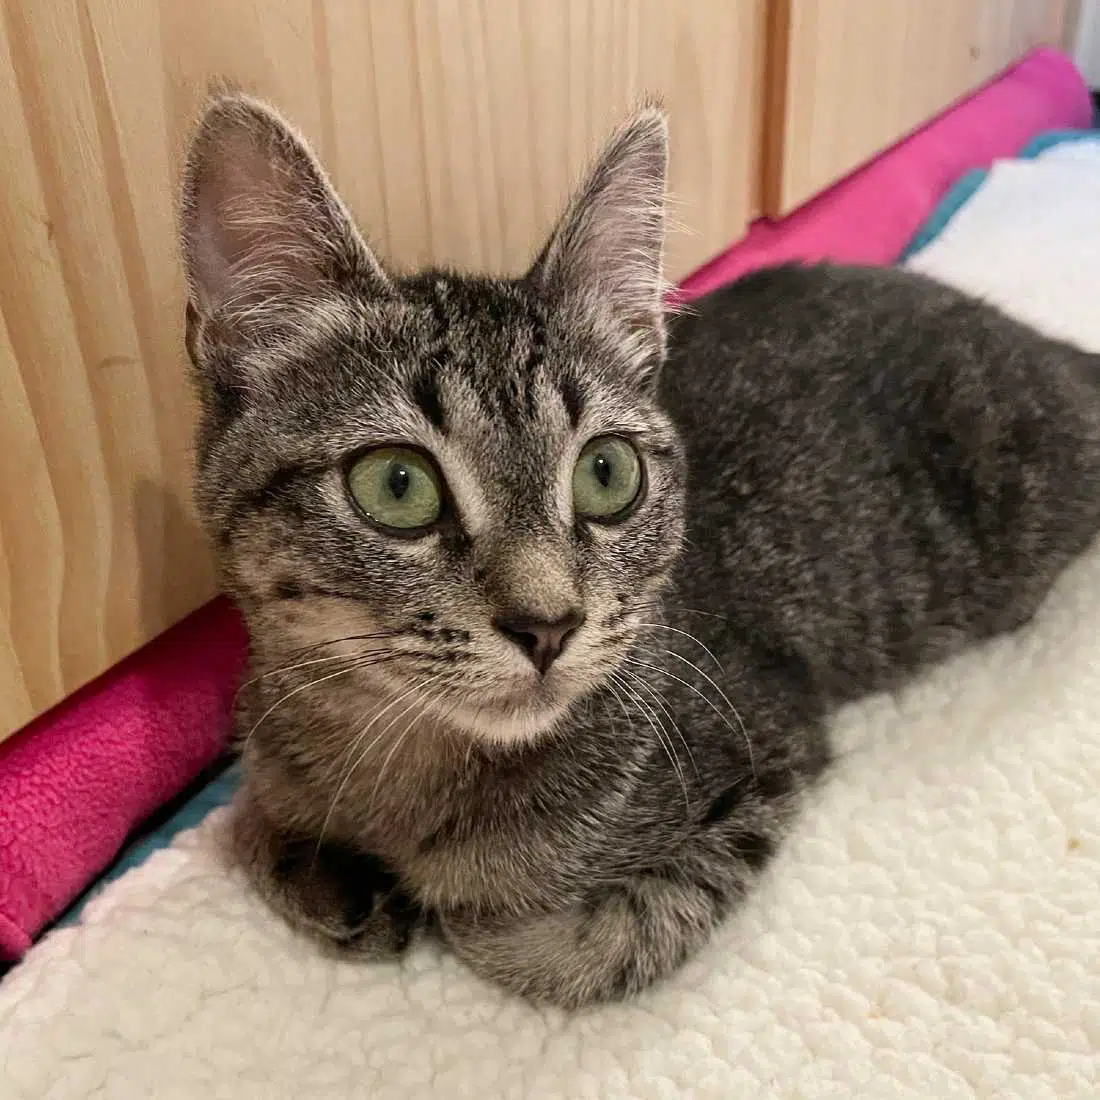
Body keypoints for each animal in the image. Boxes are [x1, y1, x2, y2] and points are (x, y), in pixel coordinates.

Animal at [181, 93, 1100, 1009]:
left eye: (607, 471)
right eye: (397, 485)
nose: (549, 624)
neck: (404, 761)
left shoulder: (770, 756)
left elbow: (538, 940)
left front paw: (436, 900)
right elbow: (249, 811)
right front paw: (322, 869)